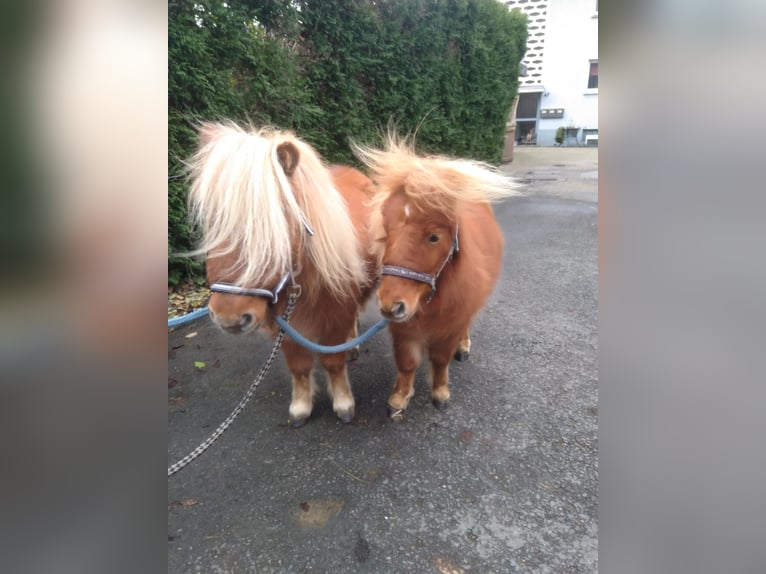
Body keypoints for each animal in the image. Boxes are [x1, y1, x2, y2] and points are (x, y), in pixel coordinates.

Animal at [186, 122, 378, 428]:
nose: (228, 317)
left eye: (276, 226)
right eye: (214, 223)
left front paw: (343, 404)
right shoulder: (285, 326)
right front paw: (300, 408)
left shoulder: (336, 317)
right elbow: (298, 366)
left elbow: (333, 362)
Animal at [356, 138, 520, 420]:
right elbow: (407, 363)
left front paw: (440, 393)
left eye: (434, 237)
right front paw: (399, 398)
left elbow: (440, 360)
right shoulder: (402, 328)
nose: (390, 305)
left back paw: (463, 348)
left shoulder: (451, 323)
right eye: (385, 231)